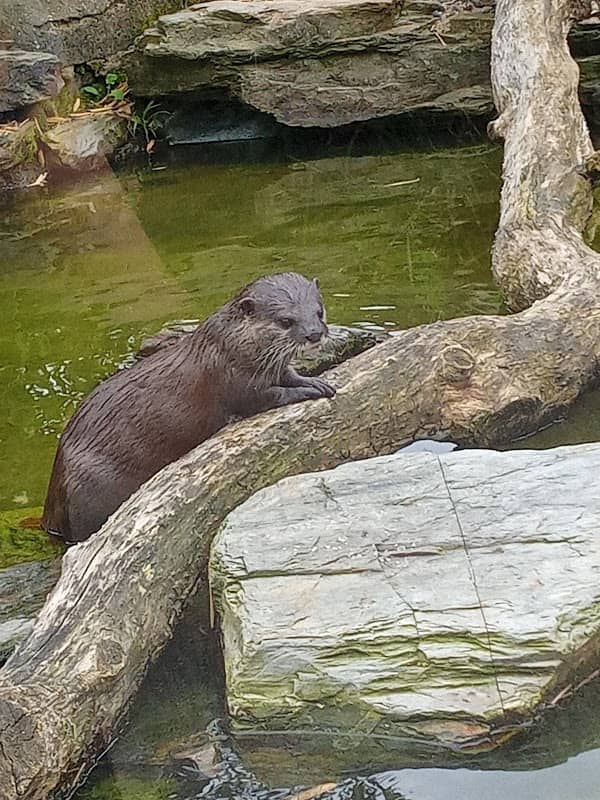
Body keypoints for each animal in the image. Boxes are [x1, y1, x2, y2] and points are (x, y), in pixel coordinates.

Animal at [42, 273, 335, 543]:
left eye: (319, 311)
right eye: (285, 321)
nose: (314, 334)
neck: (232, 348)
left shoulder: (273, 368)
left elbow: (289, 374)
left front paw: (314, 381)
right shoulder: (237, 382)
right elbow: (270, 396)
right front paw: (308, 390)